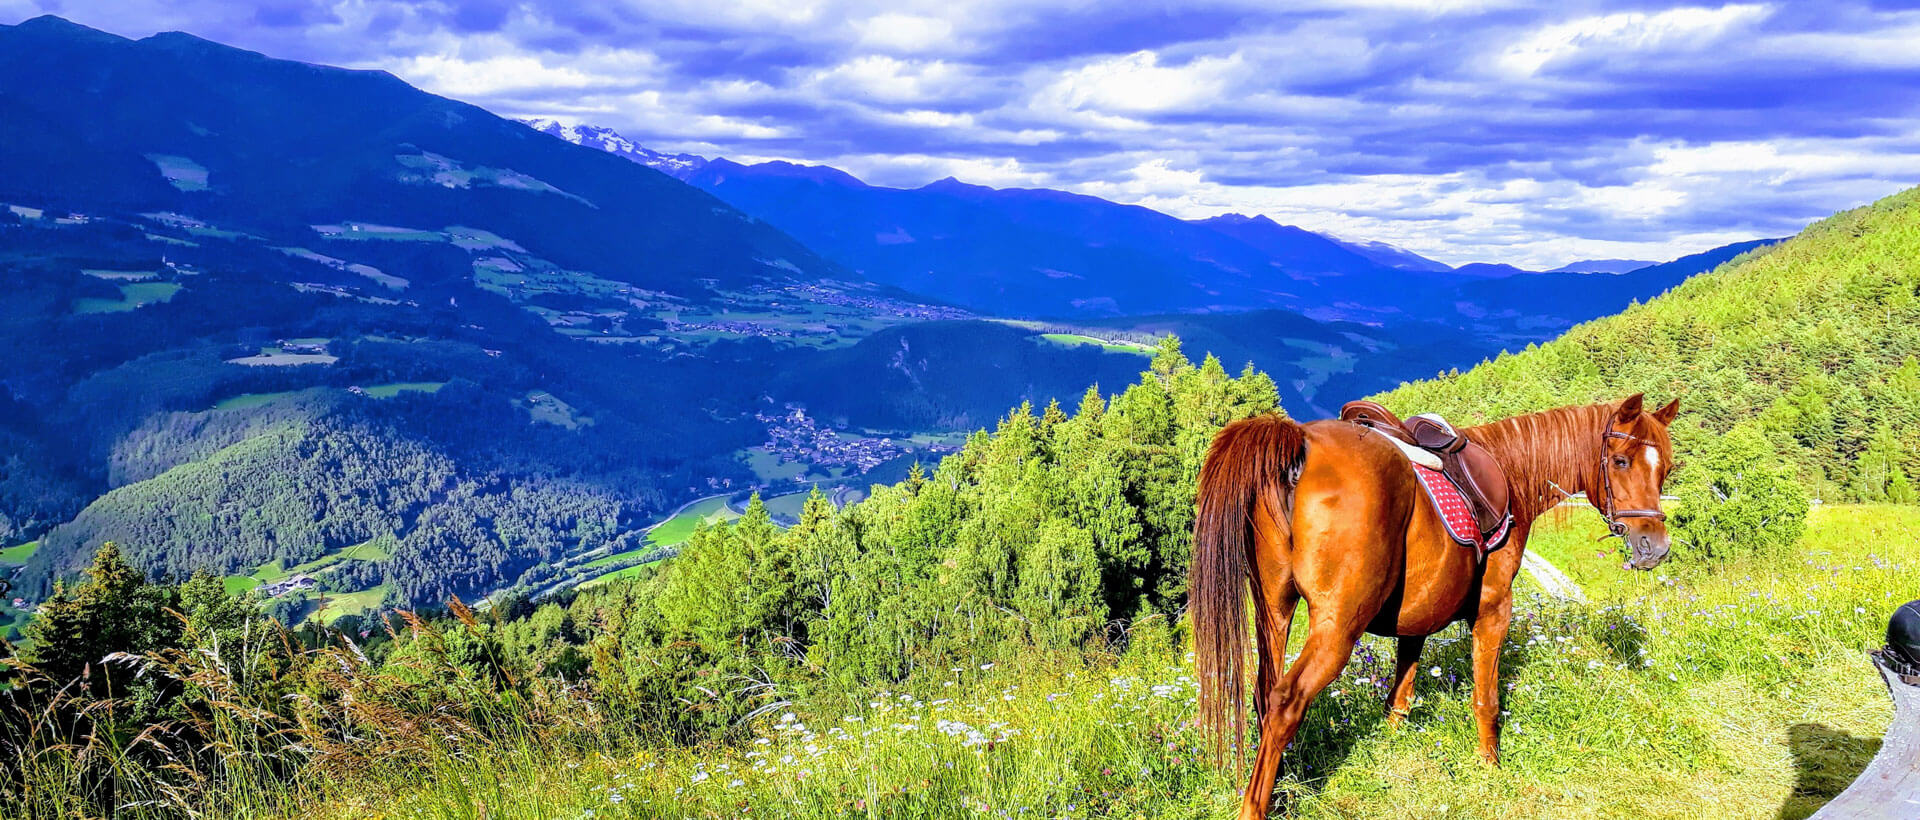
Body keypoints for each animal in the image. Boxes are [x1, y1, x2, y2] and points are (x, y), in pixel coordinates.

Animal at [1182, 395, 1681, 818]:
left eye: (1667, 469)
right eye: (1620, 461)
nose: (1655, 547)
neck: (1510, 472)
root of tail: (1300, 442)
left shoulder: (1415, 621)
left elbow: (1399, 698)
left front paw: (1390, 750)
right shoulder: (1494, 610)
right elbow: (1486, 698)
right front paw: (1490, 767)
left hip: (1273, 608)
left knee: (1265, 694)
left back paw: (1281, 785)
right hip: (1337, 625)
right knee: (1287, 700)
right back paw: (1256, 806)